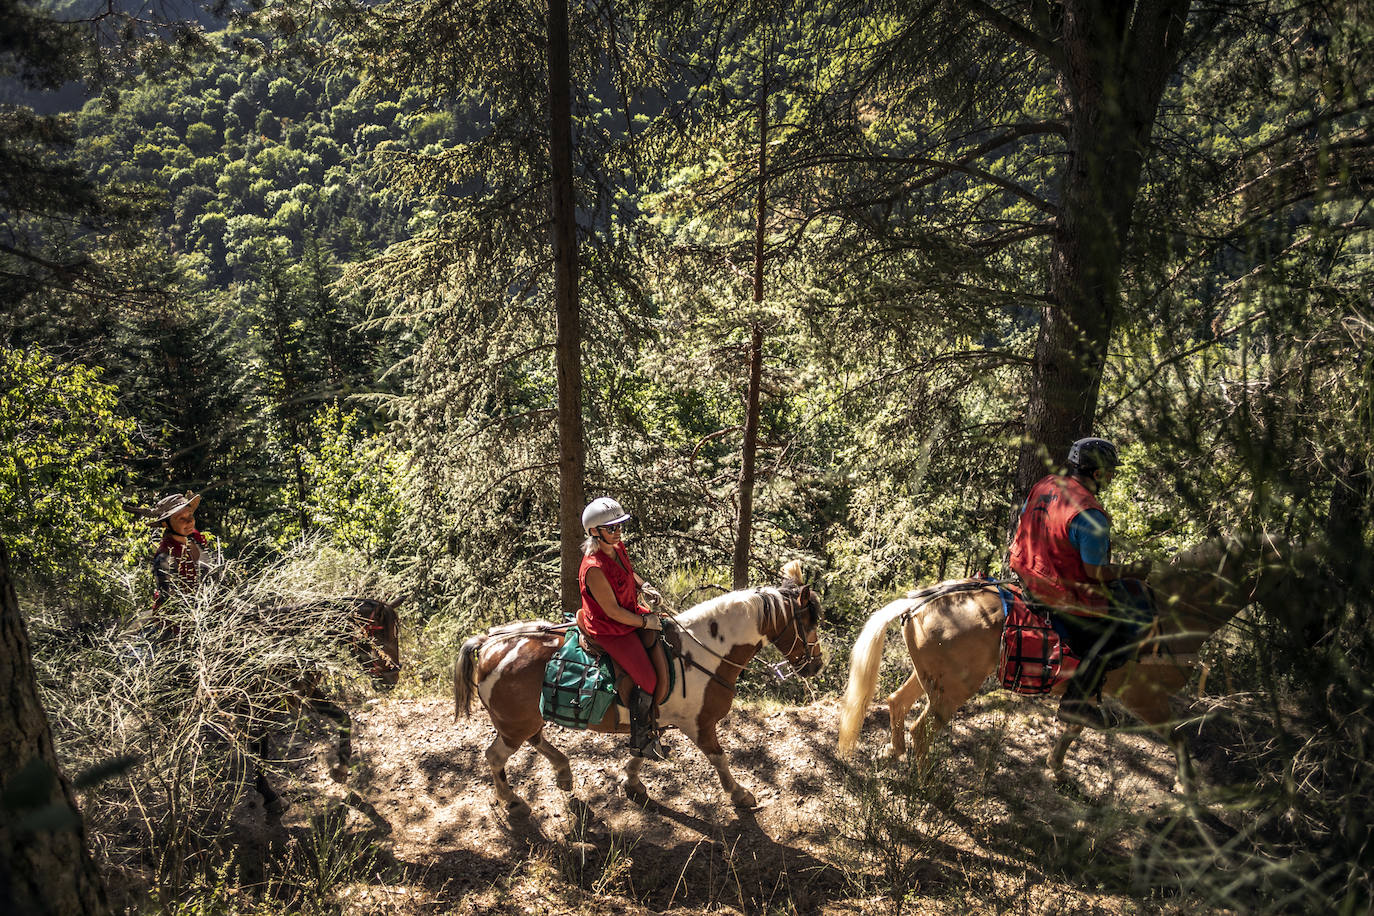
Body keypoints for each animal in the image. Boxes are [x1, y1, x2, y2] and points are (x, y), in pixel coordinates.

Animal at [456, 563, 824, 813]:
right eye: (808, 622)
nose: (817, 665)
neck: (702, 651)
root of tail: (489, 644)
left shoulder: (653, 717)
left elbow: (639, 751)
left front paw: (632, 782)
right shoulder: (699, 724)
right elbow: (719, 758)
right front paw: (740, 793)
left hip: (525, 719)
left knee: (536, 740)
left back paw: (563, 772)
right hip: (513, 725)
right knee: (496, 756)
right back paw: (511, 799)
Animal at [829, 538, 1291, 791]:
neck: (1168, 612)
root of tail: (920, 600)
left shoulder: (1090, 690)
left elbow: (1072, 727)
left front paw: (1055, 768)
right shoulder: (1145, 697)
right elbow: (1177, 738)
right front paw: (1186, 787)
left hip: (932, 679)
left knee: (896, 703)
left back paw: (894, 754)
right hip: (954, 689)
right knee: (921, 728)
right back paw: (925, 781)